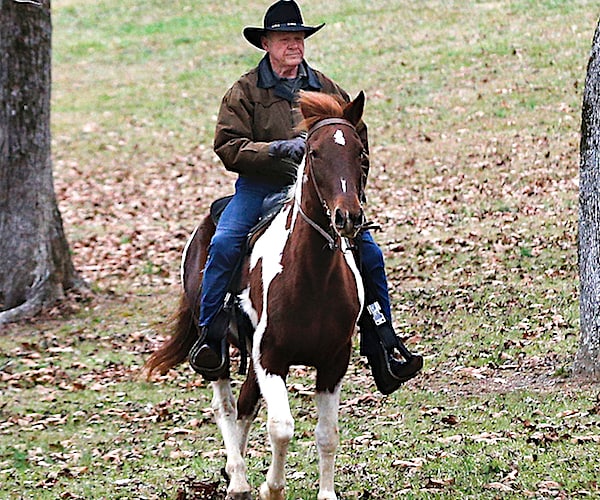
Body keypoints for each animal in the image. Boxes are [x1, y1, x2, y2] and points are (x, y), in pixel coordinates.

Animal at [146, 91, 370, 500]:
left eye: (359, 151)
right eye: (314, 152)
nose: (348, 217)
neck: (312, 279)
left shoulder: (333, 362)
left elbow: (327, 435)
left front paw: (325, 493)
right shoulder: (270, 360)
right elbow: (281, 427)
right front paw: (271, 487)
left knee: (246, 404)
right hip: (218, 351)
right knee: (226, 405)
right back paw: (237, 479)